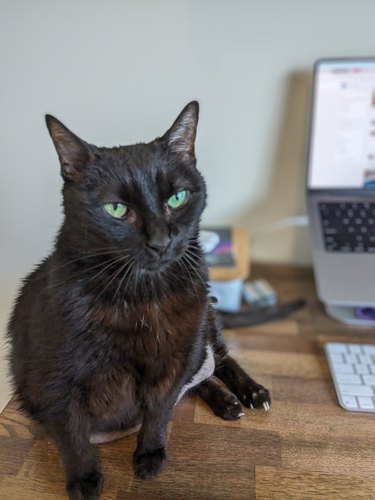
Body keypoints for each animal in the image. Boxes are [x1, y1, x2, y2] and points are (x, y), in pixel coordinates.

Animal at [7, 102, 272, 500]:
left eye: (177, 198)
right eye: (116, 209)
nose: (161, 241)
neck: (142, 296)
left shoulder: (179, 357)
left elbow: (160, 409)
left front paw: (150, 454)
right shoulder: (53, 380)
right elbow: (71, 431)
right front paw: (84, 480)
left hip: (204, 328)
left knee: (220, 360)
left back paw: (250, 393)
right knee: (203, 376)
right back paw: (226, 401)